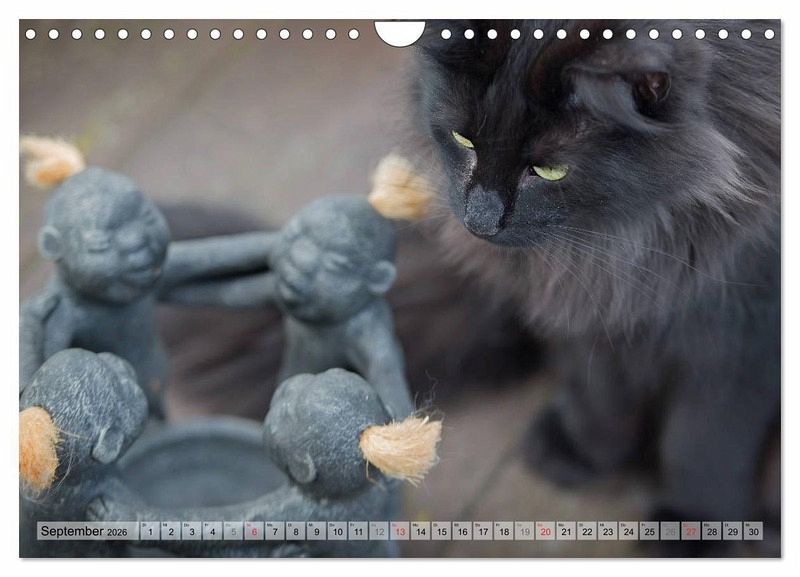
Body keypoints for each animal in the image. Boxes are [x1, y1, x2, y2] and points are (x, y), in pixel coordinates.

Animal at [408, 19, 780, 555]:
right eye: (464, 139)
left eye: (549, 170)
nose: (479, 220)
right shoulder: (589, 314)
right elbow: (598, 398)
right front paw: (588, 456)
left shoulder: (739, 346)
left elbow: (702, 445)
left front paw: (692, 531)